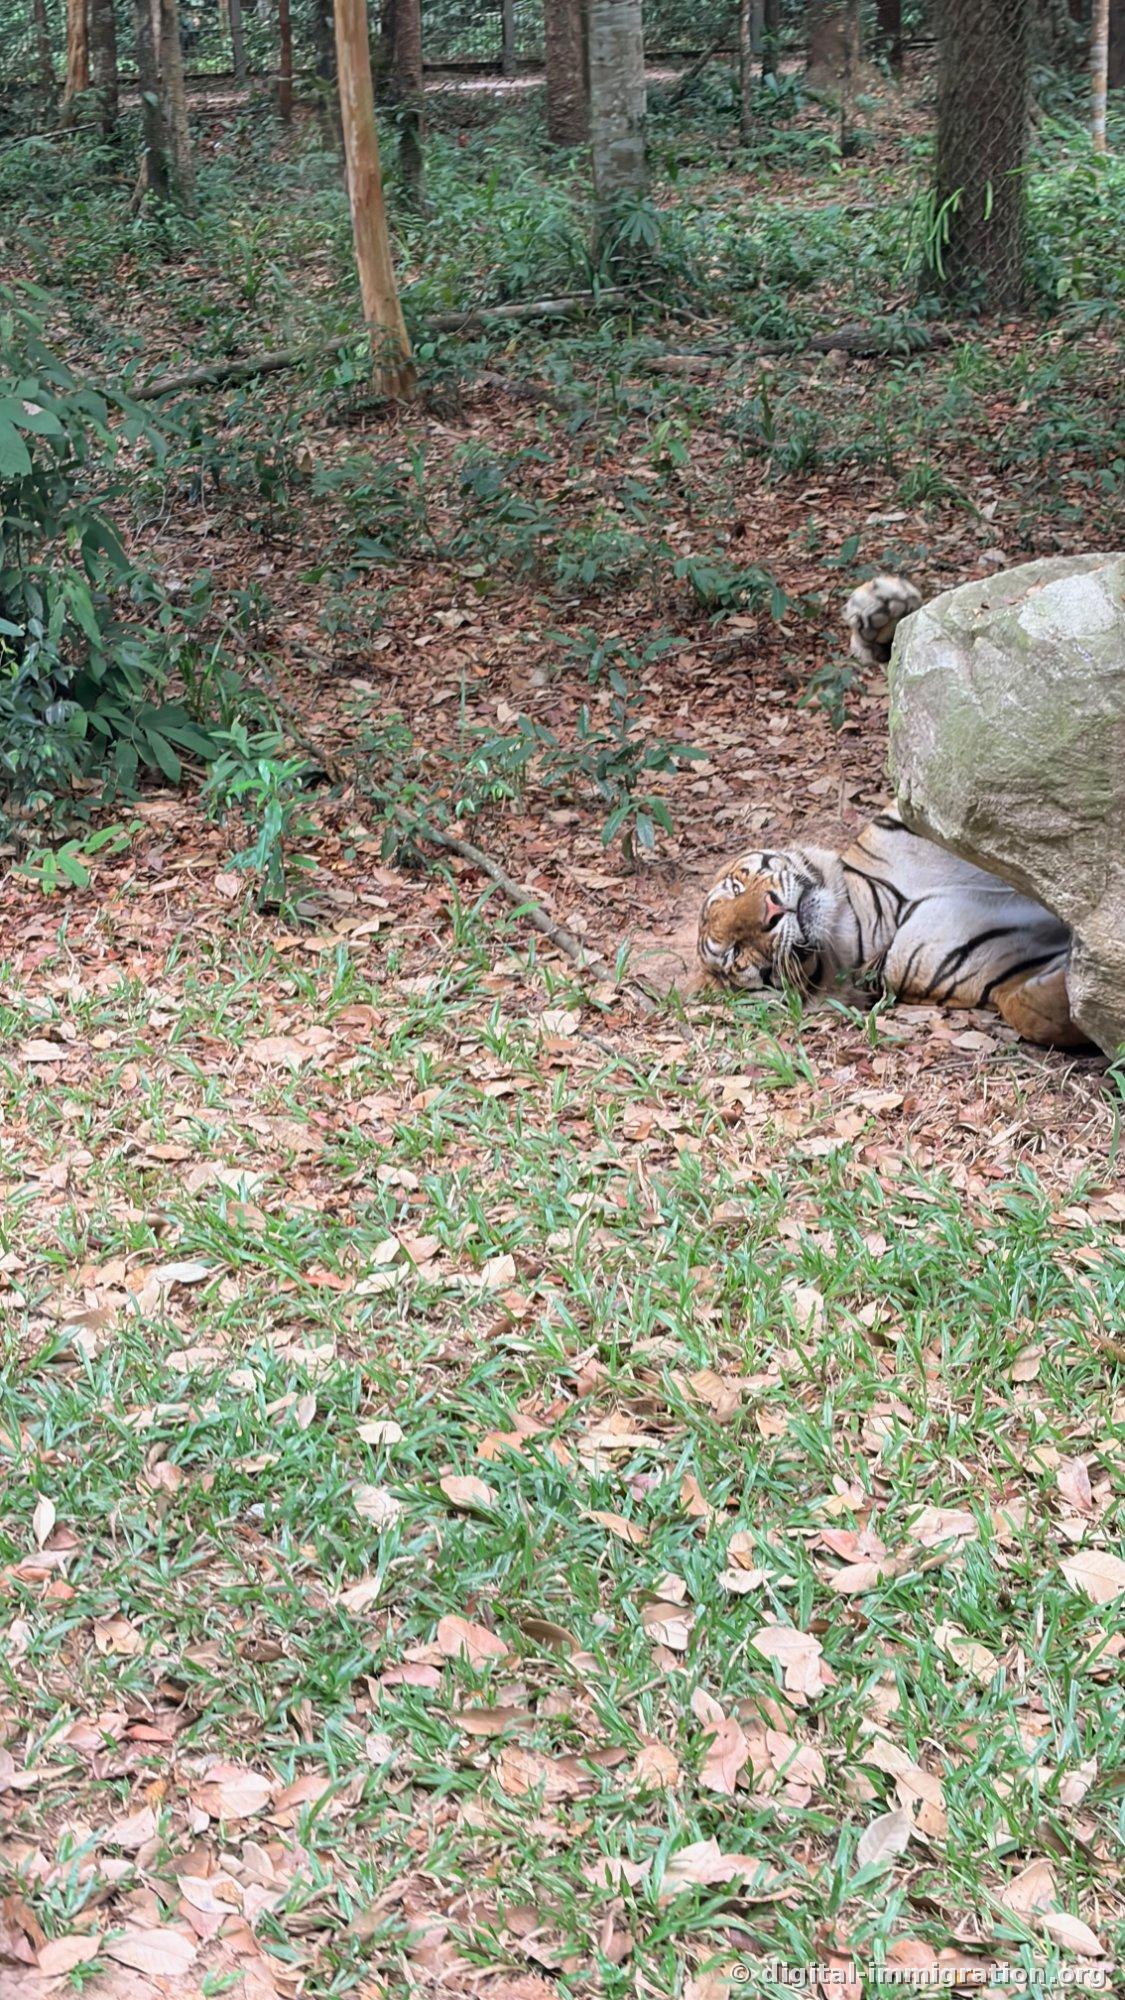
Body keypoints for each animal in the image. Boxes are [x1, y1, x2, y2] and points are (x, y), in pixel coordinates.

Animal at [696, 577, 1086, 1049]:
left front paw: (881, 610)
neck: (863, 921)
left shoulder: (928, 805)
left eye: (739, 885)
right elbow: (1034, 1012)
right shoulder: (1002, 968)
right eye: (736, 952)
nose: (771, 911)